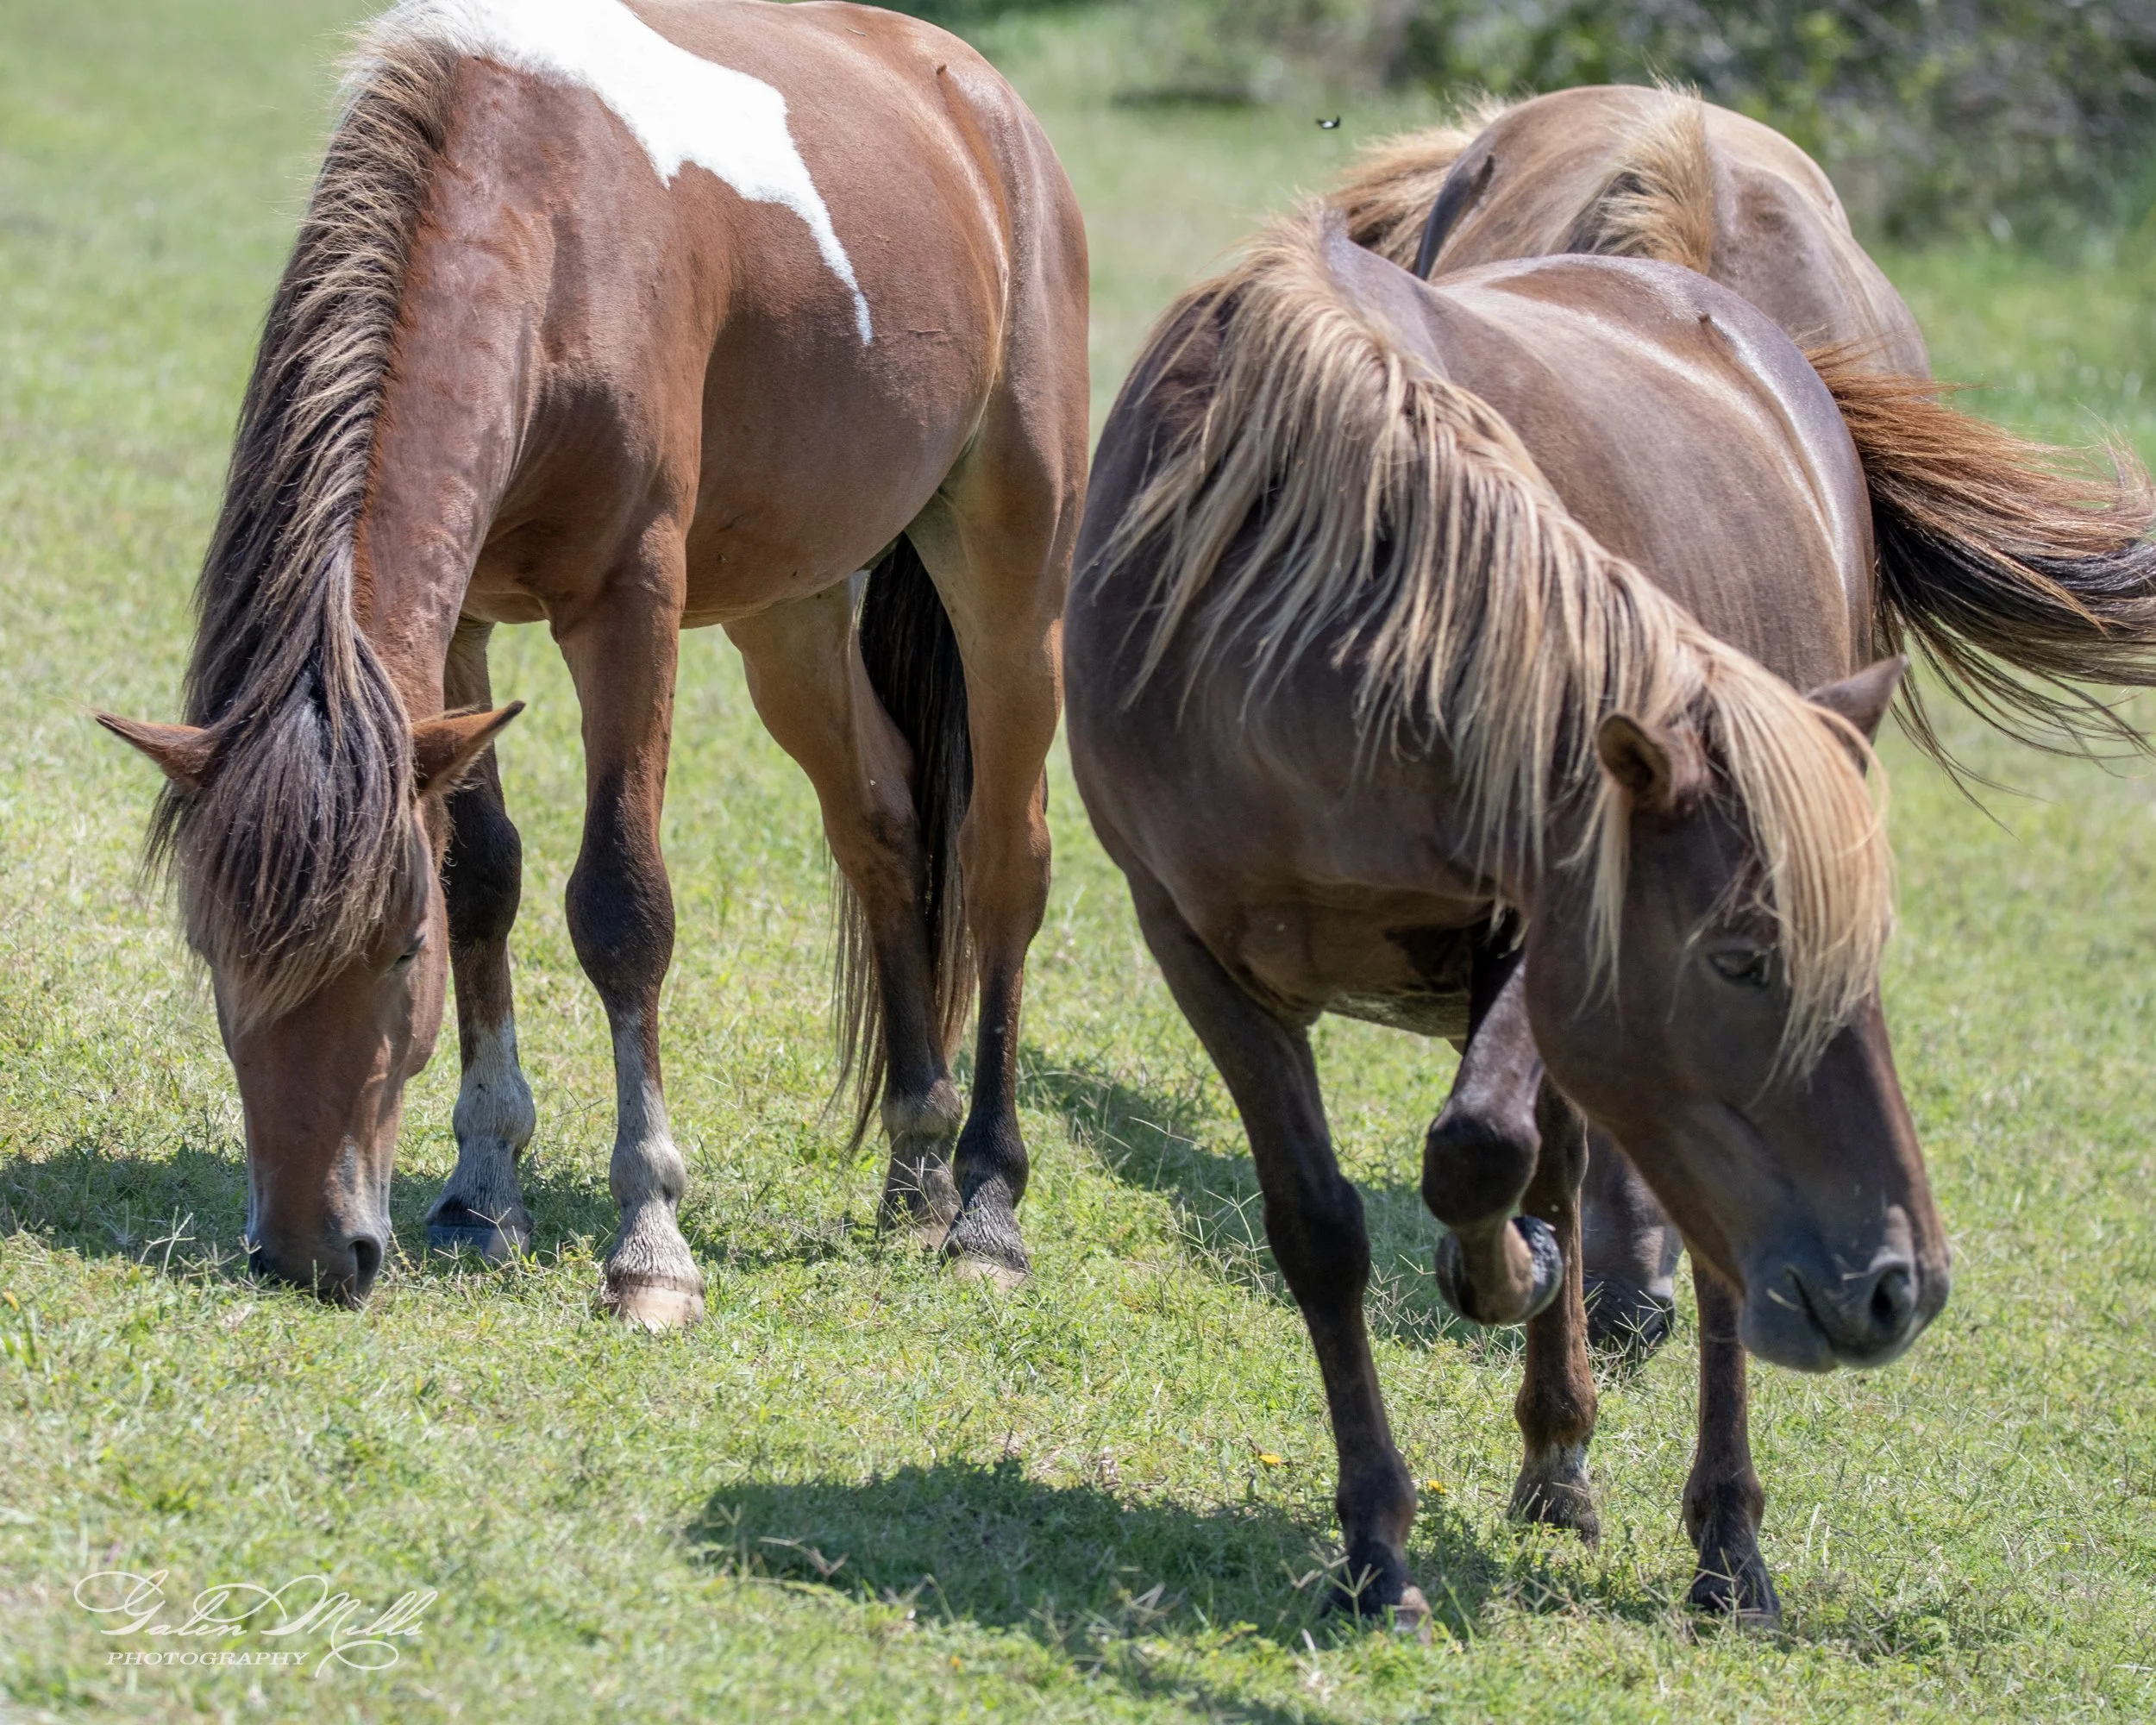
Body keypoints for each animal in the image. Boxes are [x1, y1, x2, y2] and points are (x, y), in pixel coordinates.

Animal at [95, 0, 1088, 1326]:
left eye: (394, 952)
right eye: (212, 952)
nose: (309, 1252)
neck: (544, 215)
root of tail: (981, 101)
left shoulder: (630, 608)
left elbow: (621, 906)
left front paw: (651, 1243)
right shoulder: (461, 628)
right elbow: (483, 878)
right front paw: (481, 1191)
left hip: (1011, 578)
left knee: (1001, 867)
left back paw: (986, 1206)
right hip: (793, 612)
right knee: (881, 824)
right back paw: (919, 1159)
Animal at [1069, 197, 2148, 1625]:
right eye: (1739, 960)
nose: (1900, 1286)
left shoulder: (1536, 923)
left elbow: (1479, 1152)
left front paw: (1508, 1271)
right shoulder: (1195, 950)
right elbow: (1324, 1229)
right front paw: (1376, 1546)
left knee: (1694, 1252)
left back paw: (1726, 1542)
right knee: (1585, 1181)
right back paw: (1559, 1452)